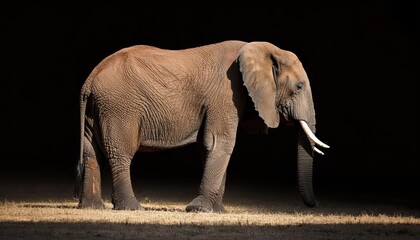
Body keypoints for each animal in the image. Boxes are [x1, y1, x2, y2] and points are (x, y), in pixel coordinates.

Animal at [73, 40, 332, 213]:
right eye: (298, 87)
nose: (315, 205)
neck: (261, 50)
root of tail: (91, 78)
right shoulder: (226, 94)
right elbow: (219, 143)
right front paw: (199, 209)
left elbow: (210, 148)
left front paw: (217, 211)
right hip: (119, 107)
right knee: (121, 154)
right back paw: (132, 208)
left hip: (99, 108)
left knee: (91, 153)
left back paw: (92, 208)